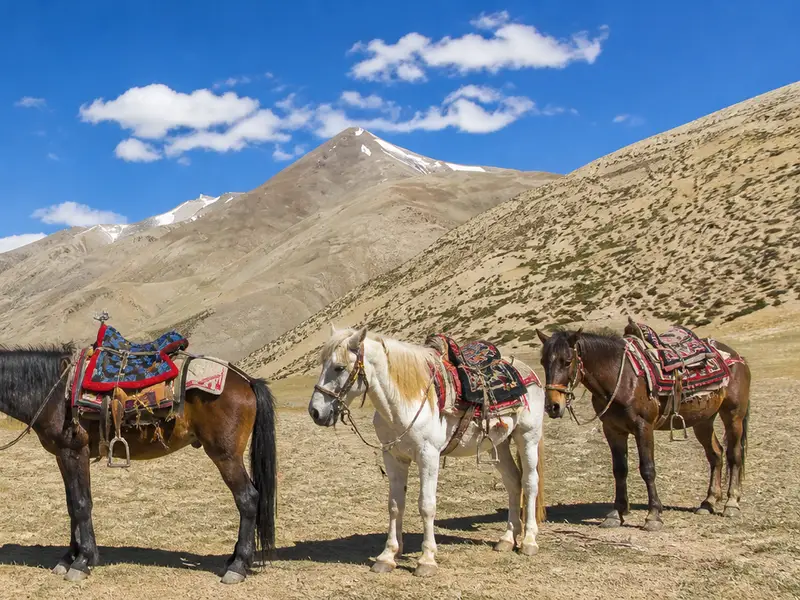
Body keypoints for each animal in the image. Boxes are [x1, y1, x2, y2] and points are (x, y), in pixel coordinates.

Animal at [0, 343, 277, 584]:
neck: (56, 393)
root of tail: (247, 381)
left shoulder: (75, 453)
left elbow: (81, 505)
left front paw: (83, 561)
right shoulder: (62, 455)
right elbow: (71, 506)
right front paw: (69, 558)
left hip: (225, 455)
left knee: (248, 499)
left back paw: (238, 566)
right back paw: (233, 559)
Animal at [307, 325, 545, 577]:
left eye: (339, 367)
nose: (315, 412)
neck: (404, 400)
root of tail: (527, 371)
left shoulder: (428, 457)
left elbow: (426, 506)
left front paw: (427, 560)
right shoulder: (393, 457)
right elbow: (395, 505)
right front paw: (388, 556)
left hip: (527, 437)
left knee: (530, 483)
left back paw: (529, 541)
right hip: (498, 444)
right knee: (513, 482)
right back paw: (508, 539)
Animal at [536, 328, 751, 531]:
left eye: (567, 361)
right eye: (543, 362)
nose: (553, 406)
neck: (622, 377)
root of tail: (737, 357)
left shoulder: (643, 427)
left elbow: (647, 469)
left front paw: (653, 515)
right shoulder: (612, 430)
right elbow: (619, 469)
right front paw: (617, 513)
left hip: (733, 416)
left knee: (734, 455)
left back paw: (731, 503)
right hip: (703, 421)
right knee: (715, 454)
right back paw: (709, 502)